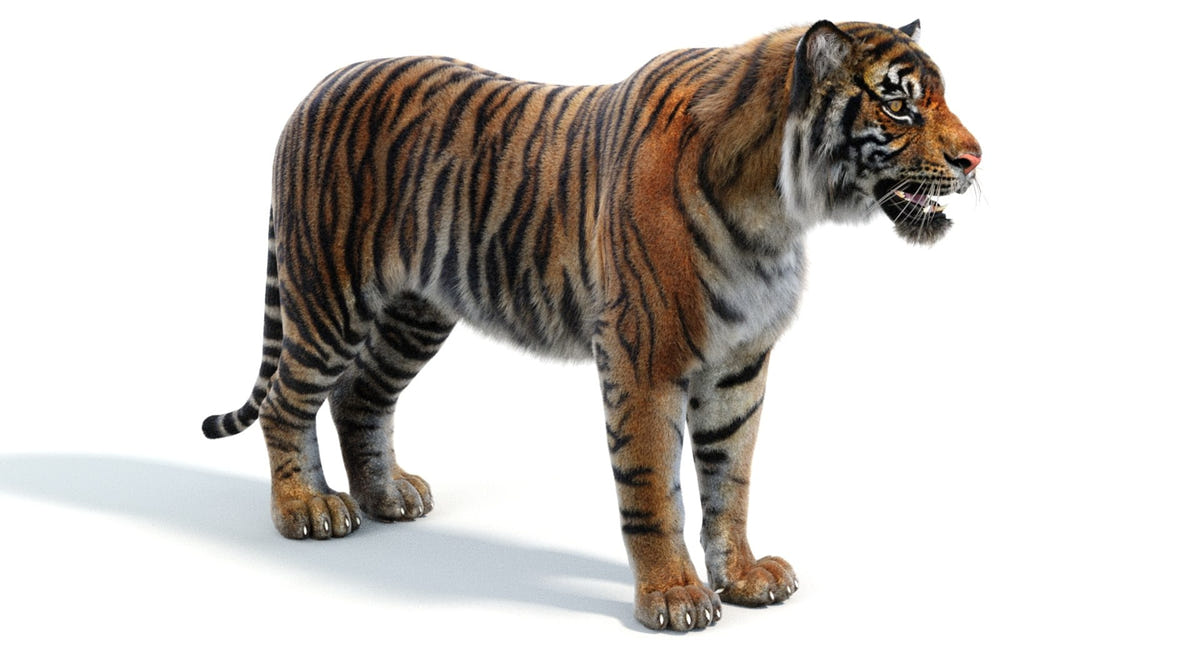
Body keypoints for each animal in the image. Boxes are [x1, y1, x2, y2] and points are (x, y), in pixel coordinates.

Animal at [203, 19, 980, 631]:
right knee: (286, 402)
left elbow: (731, 480)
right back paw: (307, 509)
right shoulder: (645, 359)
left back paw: (388, 496)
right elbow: (653, 489)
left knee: (359, 397)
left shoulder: (740, 366)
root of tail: (320, 86)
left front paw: (744, 576)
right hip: (329, 296)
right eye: (900, 106)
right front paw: (674, 597)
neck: (780, 209)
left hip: (413, 313)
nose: (976, 158)